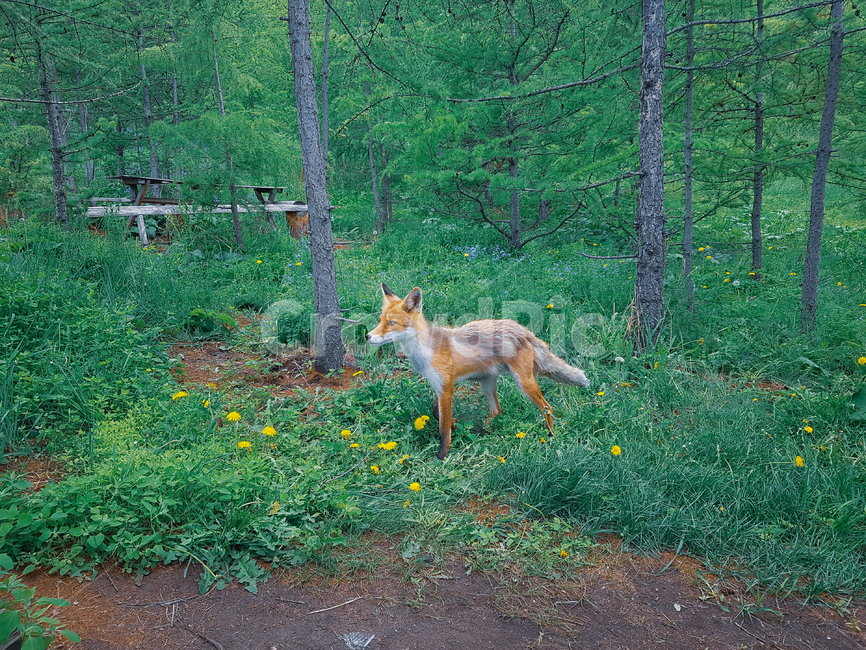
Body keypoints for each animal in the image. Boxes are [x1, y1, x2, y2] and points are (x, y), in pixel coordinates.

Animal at [366, 284, 590, 460]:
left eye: (391, 323)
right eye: (380, 320)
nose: (367, 336)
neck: (425, 352)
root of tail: (522, 329)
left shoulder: (447, 389)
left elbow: (442, 430)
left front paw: (442, 456)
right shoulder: (438, 386)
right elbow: (436, 414)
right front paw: (455, 425)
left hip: (523, 383)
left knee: (547, 408)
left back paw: (550, 436)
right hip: (487, 383)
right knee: (497, 411)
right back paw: (485, 429)